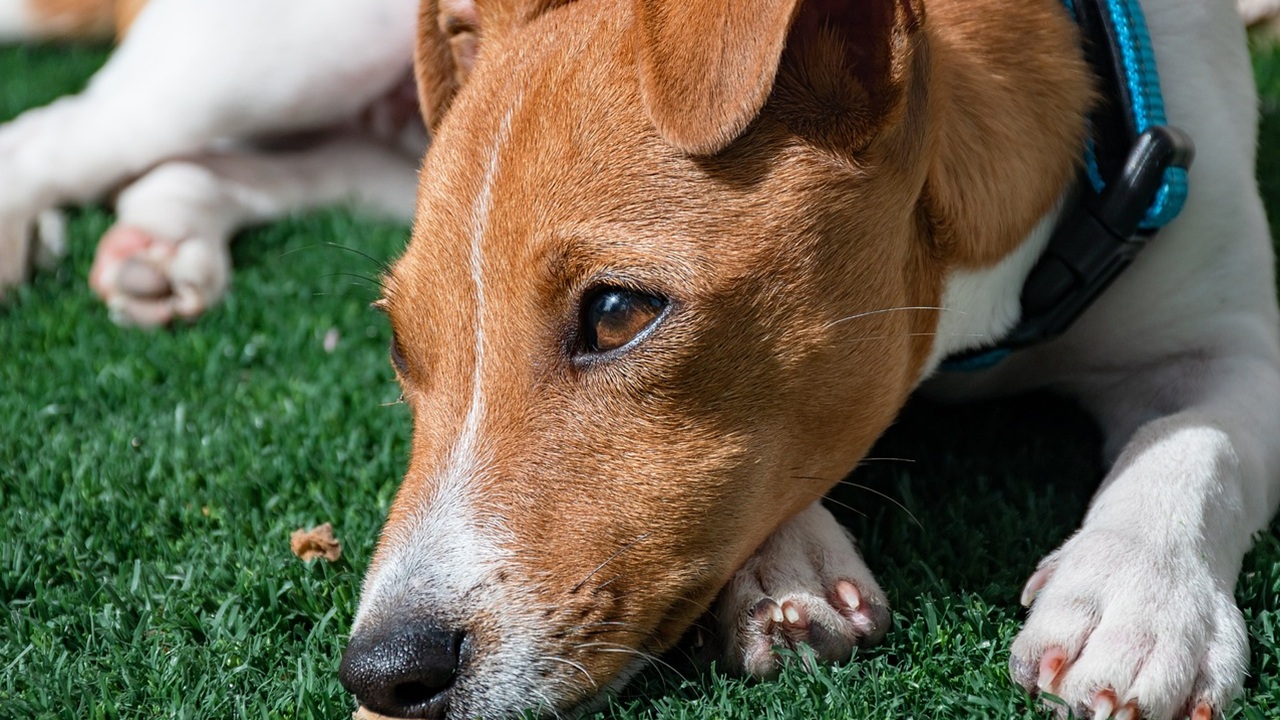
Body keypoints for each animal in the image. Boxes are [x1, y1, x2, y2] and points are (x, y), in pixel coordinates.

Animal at [2, 1, 1280, 717]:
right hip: (280, 51)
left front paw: (1134, 602)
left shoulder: (1226, 333)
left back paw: (165, 239)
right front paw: (788, 564)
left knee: (249, 163)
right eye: (401, 346)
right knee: (71, 129)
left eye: (617, 313)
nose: (380, 676)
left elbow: (1195, 445)